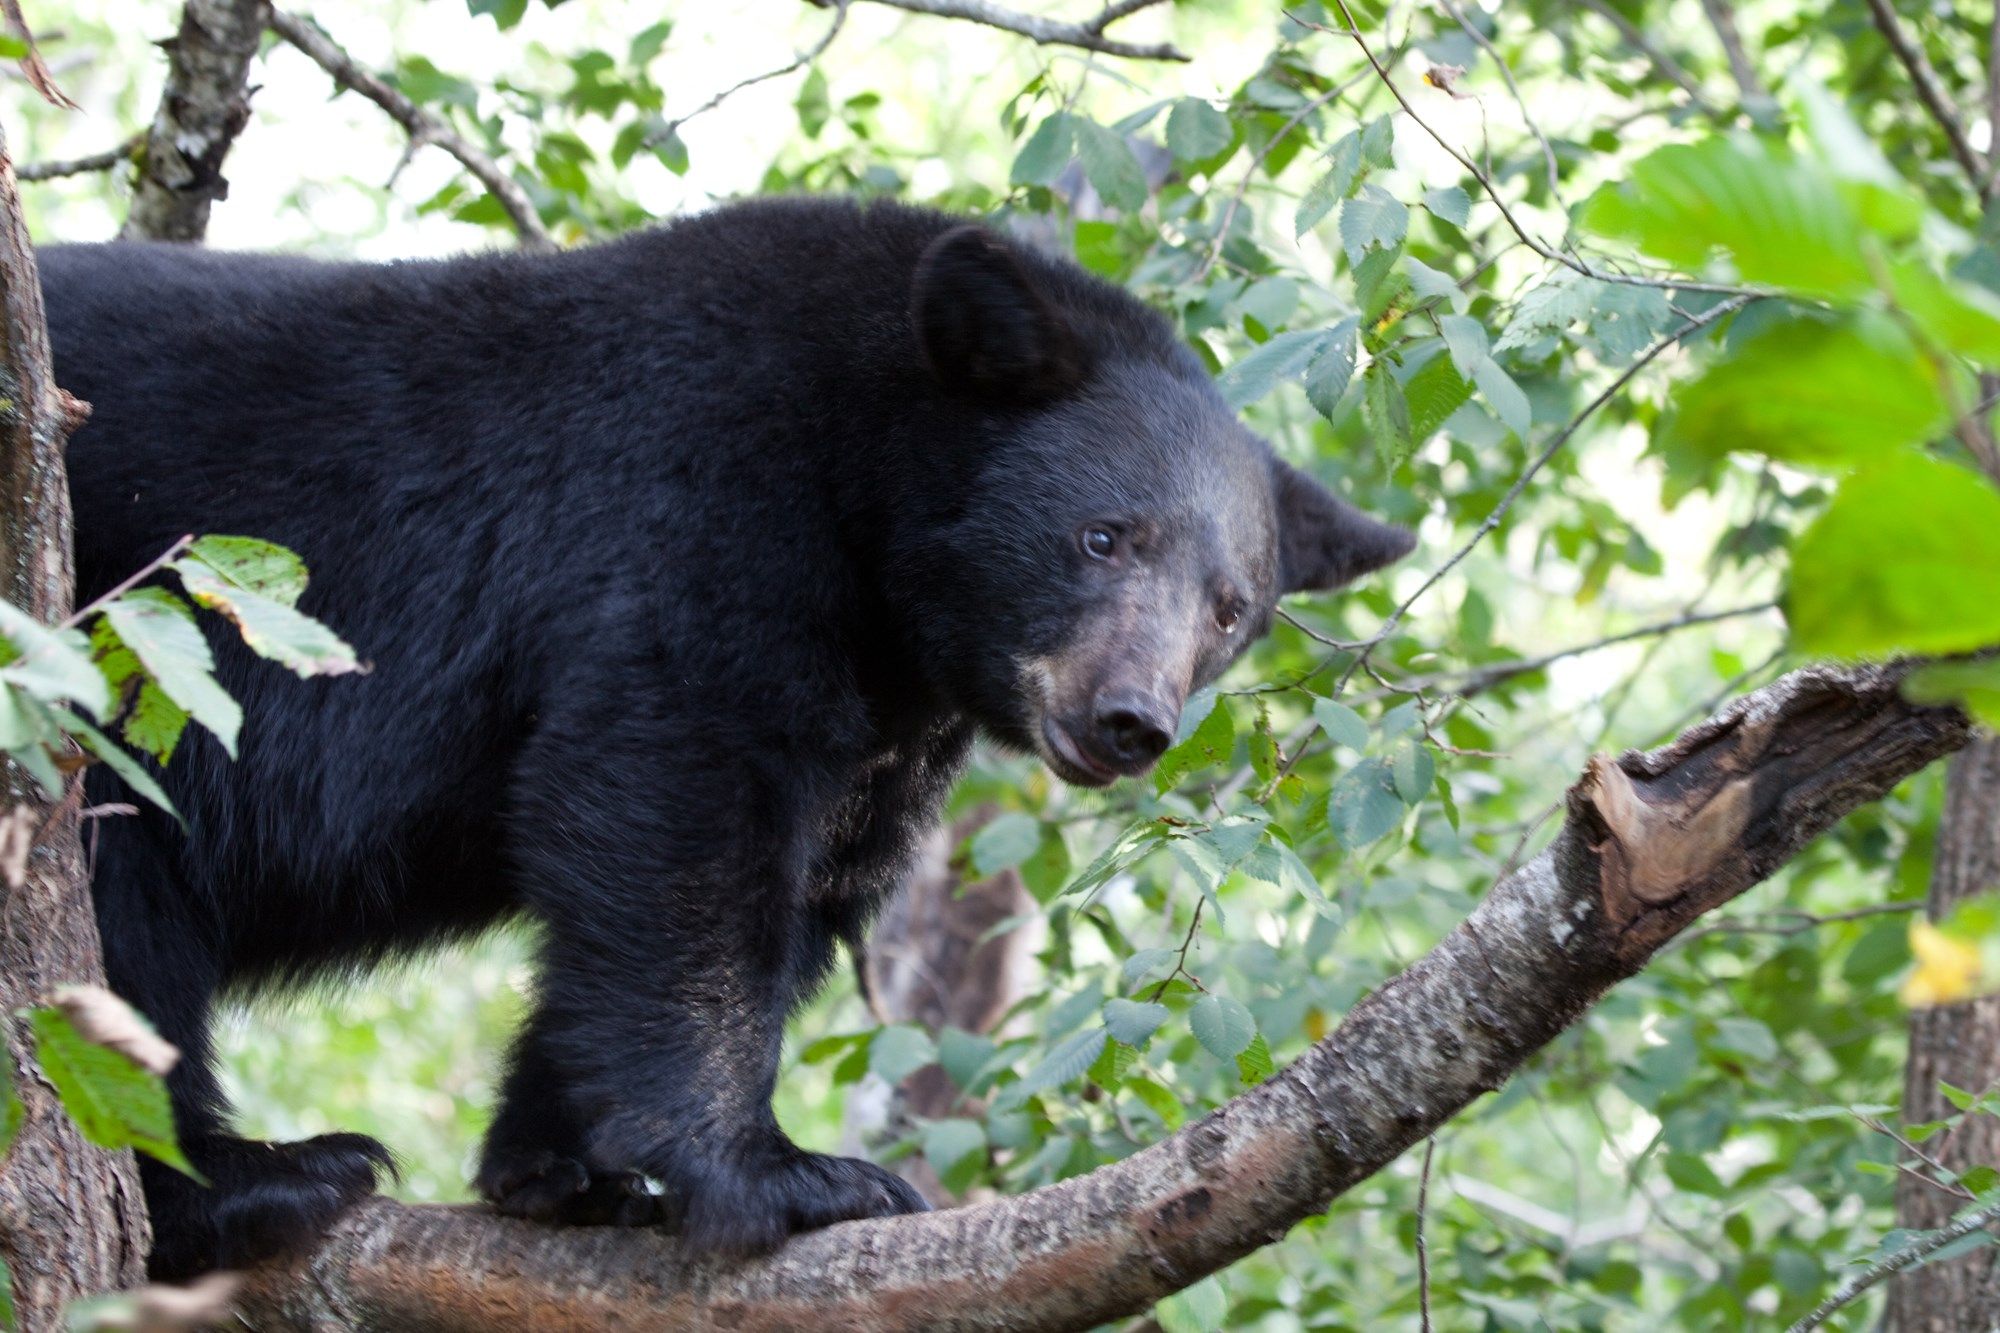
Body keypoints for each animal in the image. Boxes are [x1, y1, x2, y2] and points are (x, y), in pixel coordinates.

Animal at [40, 198, 1413, 1279]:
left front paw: (556, 1163)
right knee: (122, 911)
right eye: (1102, 537)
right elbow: (674, 798)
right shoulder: (703, 502)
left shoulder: (888, 712)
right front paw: (781, 1172)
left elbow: (798, 873)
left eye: (1229, 607)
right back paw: (254, 1177)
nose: (1128, 719)